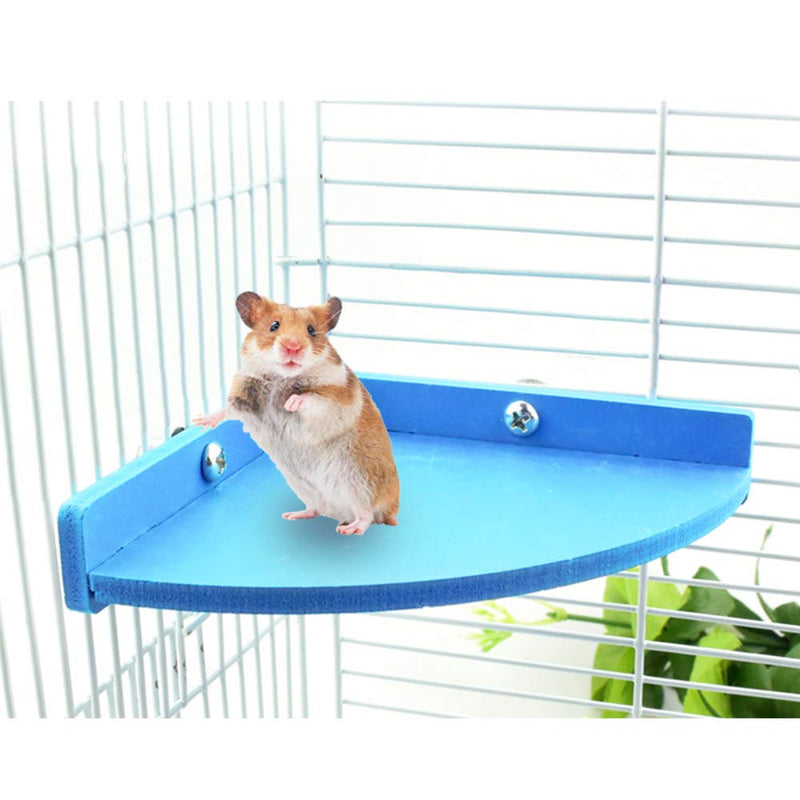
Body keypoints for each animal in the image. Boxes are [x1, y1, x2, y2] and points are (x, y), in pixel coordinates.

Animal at [192, 292, 400, 536]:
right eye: (274, 326)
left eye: (311, 330)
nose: (293, 347)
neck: (281, 377)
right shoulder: (244, 395)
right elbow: (227, 410)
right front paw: (199, 421)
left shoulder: (333, 399)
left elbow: (310, 398)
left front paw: (290, 403)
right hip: (305, 487)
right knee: (315, 509)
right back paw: (293, 515)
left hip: (361, 482)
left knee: (367, 515)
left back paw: (348, 530)